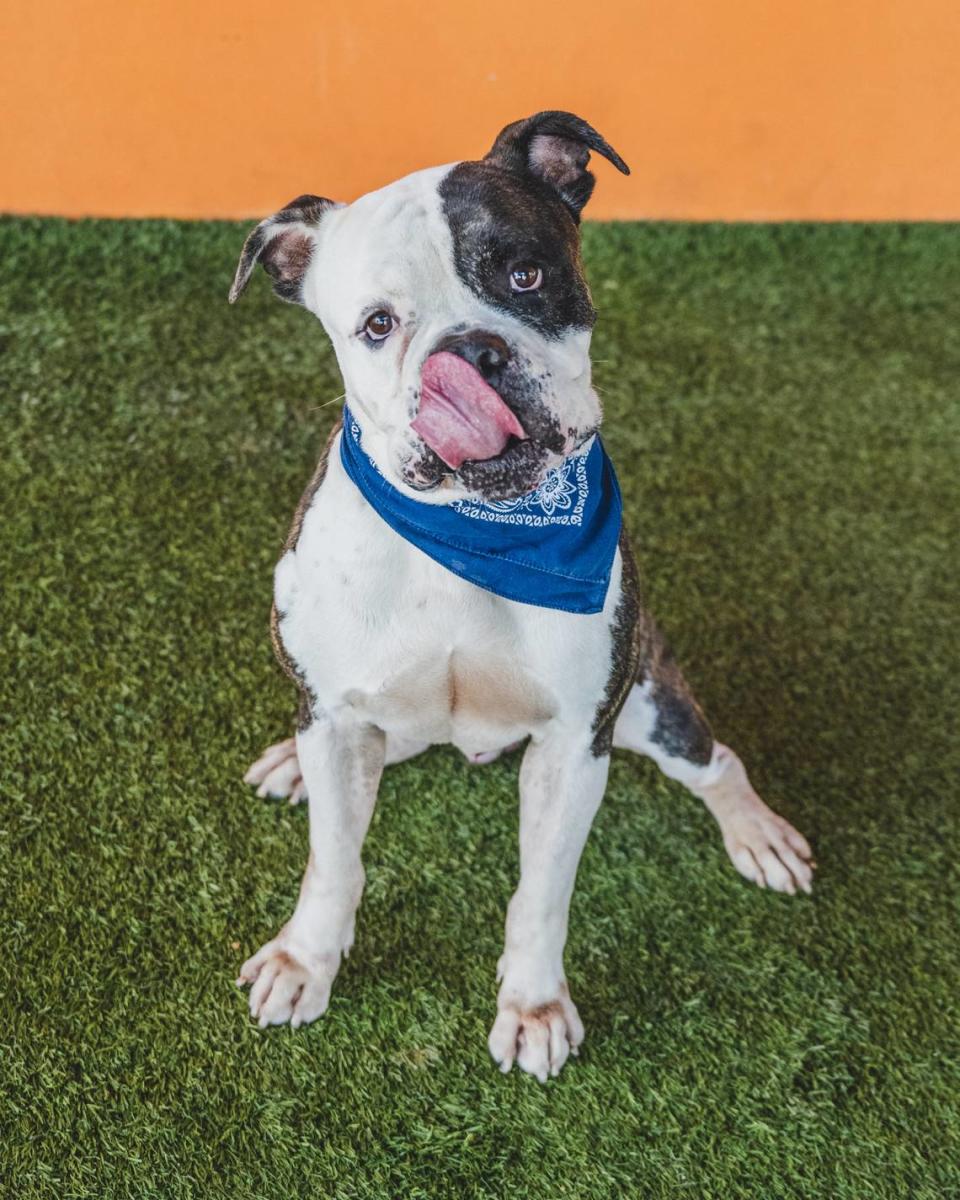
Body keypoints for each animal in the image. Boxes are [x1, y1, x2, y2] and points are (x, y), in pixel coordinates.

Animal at [229, 112, 816, 1084]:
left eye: (526, 275)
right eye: (378, 325)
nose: (468, 355)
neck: (476, 536)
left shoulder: (576, 745)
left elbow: (543, 890)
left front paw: (534, 1007)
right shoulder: (340, 714)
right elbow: (335, 864)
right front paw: (304, 961)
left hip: (648, 705)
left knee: (715, 761)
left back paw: (757, 834)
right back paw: (294, 765)